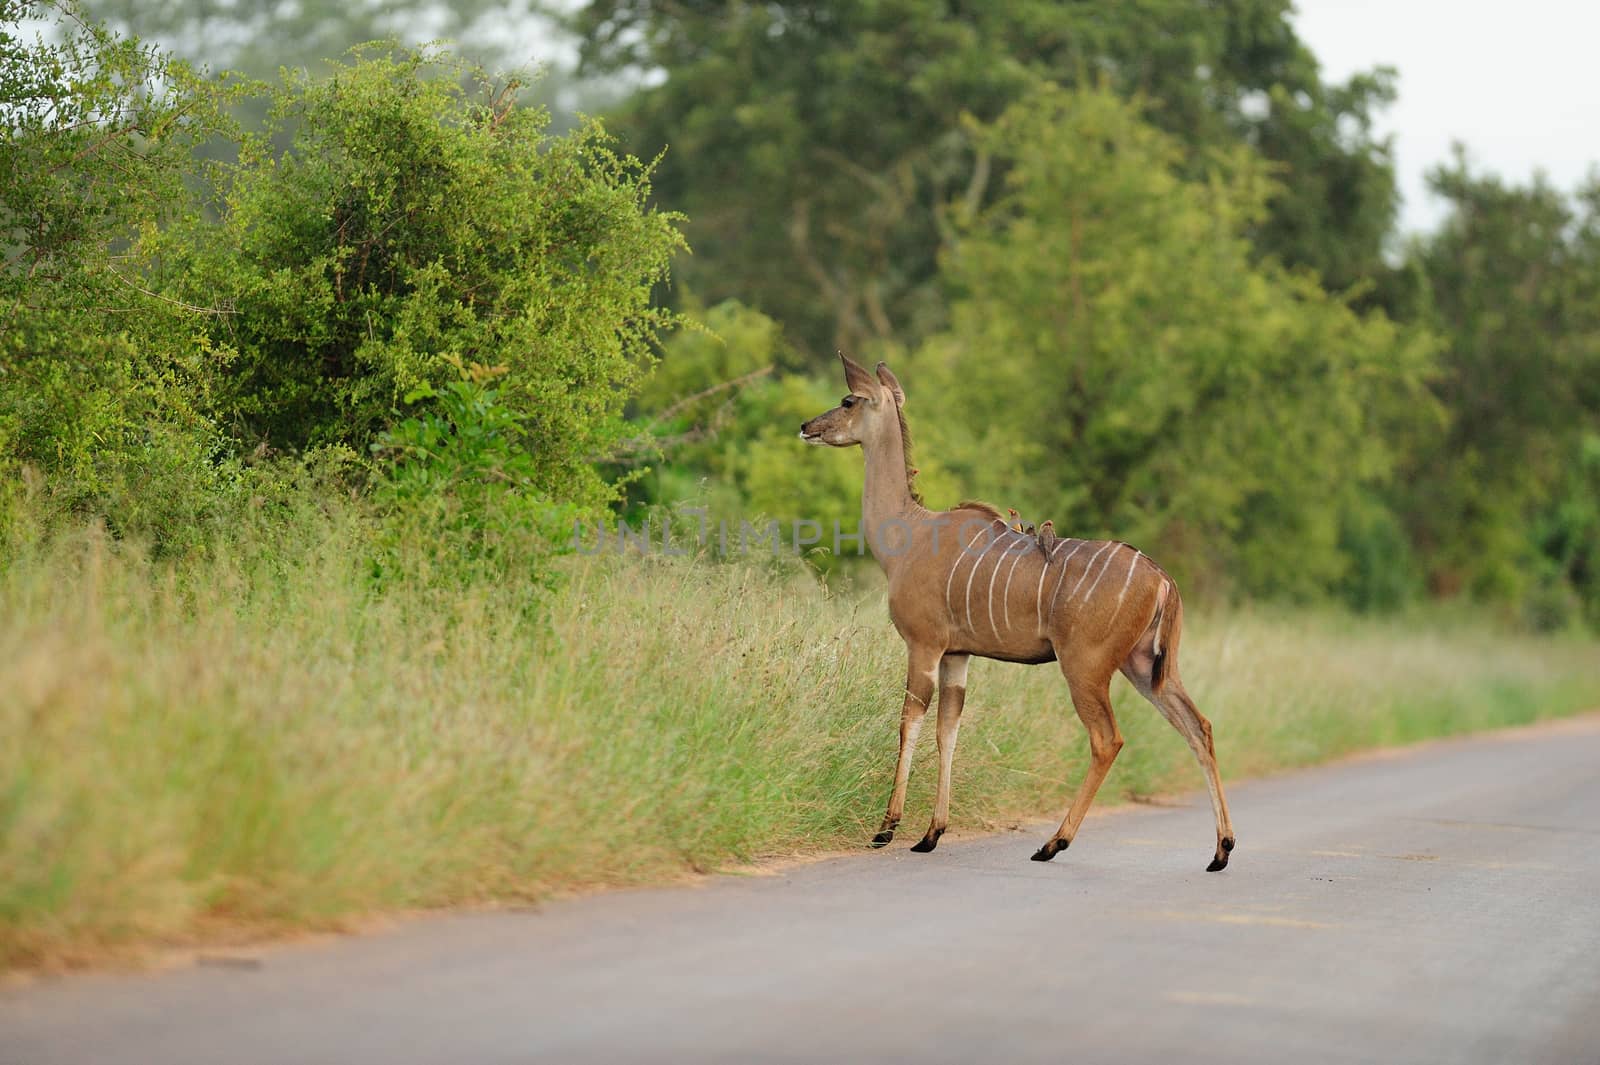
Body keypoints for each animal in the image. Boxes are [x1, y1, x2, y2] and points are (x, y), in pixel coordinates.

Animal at [800, 351, 1235, 869]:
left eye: (848, 400)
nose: (806, 426)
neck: (906, 535)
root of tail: (1162, 579)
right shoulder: (957, 655)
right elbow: (949, 728)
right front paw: (931, 833)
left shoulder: (924, 645)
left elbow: (910, 721)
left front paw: (887, 828)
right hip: (1145, 665)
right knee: (1198, 726)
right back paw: (1221, 850)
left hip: (1086, 667)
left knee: (1107, 739)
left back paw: (1052, 843)